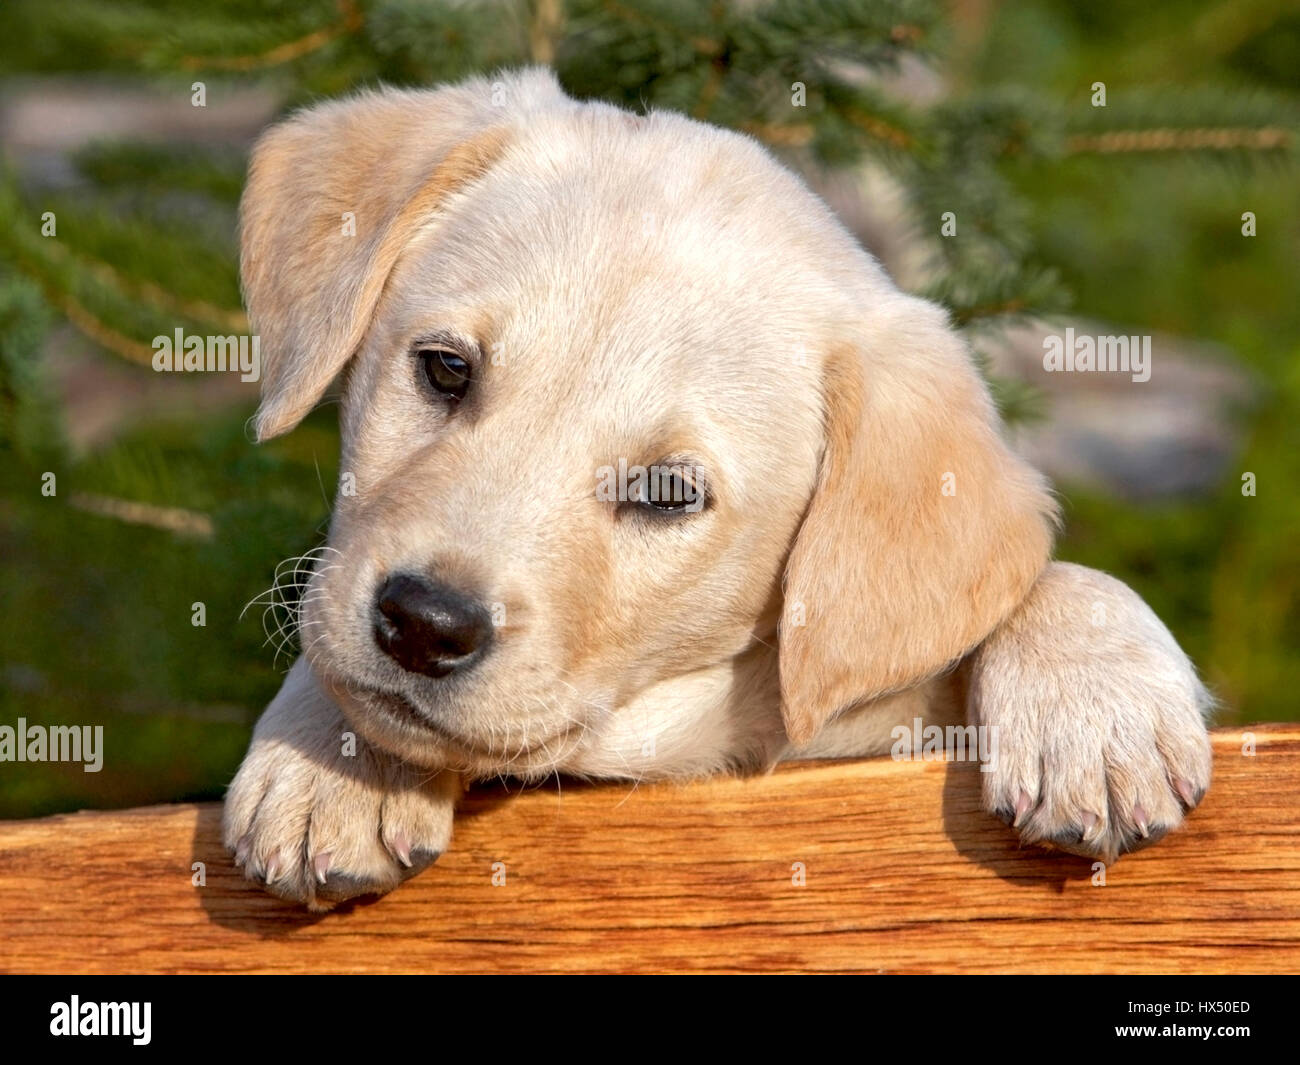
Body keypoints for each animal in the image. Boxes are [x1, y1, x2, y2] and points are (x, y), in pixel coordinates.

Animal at [223, 70, 1206, 910]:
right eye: (445, 370)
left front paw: (1095, 710)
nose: (424, 624)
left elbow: (1057, 577)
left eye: (665, 491)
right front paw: (333, 757)